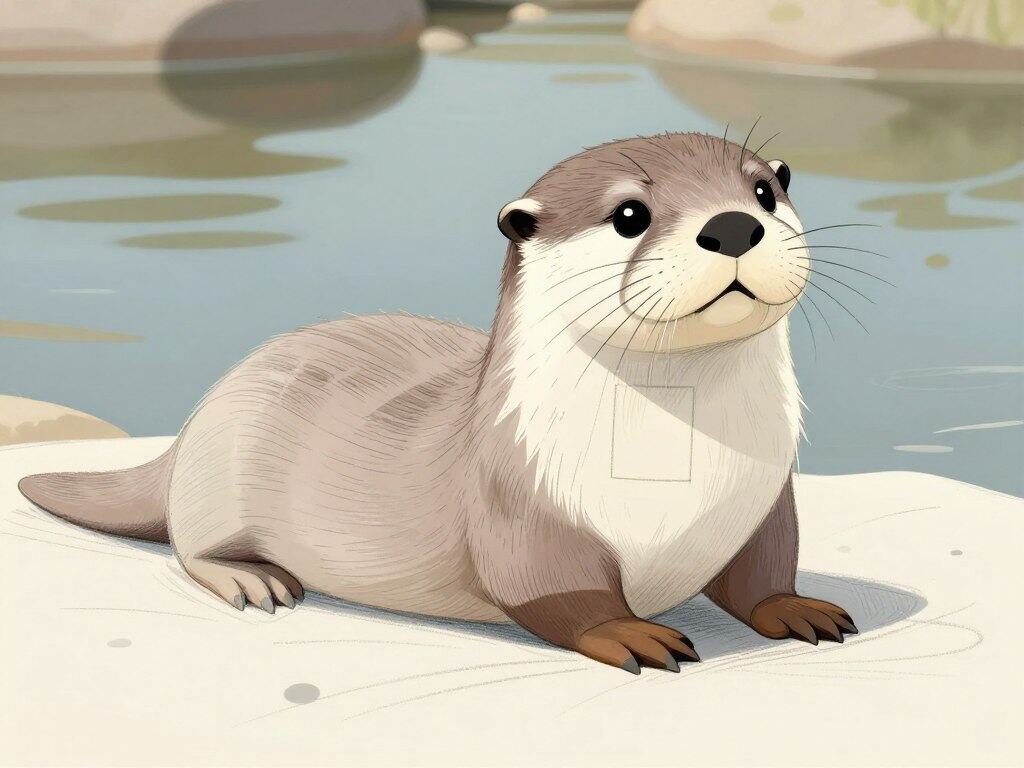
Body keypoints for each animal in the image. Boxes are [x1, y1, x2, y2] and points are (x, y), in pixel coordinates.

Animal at [20, 132, 856, 674]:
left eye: (764, 189)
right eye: (629, 215)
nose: (733, 224)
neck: (672, 469)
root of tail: (196, 420)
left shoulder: (763, 495)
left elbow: (761, 569)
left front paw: (796, 607)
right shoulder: (519, 502)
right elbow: (557, 589)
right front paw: (629, 633)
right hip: (220, 470)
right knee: (190, 543)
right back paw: (253, 581)